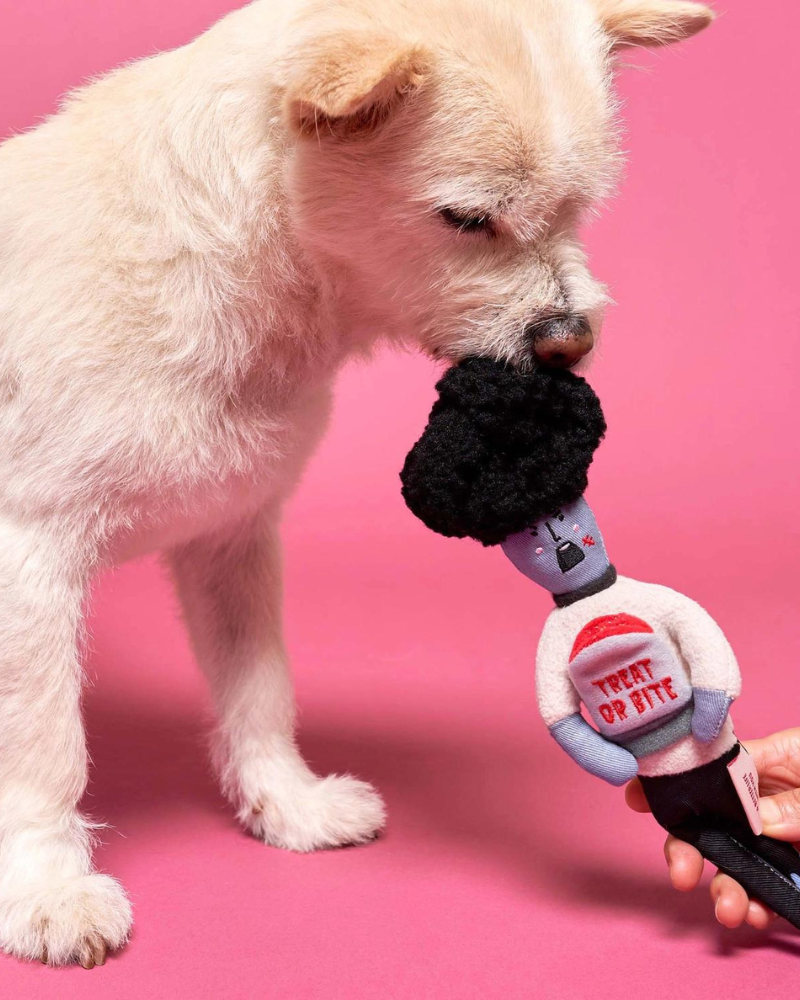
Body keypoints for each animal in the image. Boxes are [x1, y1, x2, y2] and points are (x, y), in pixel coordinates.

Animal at [0, 0, 712, 968]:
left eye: (579, 207)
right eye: (466, 218)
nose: (568, 341)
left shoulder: (234, 542)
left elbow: (258, 690)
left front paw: (286, 805)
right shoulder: (29, 567)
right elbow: (44, 749)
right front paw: (46, 888)